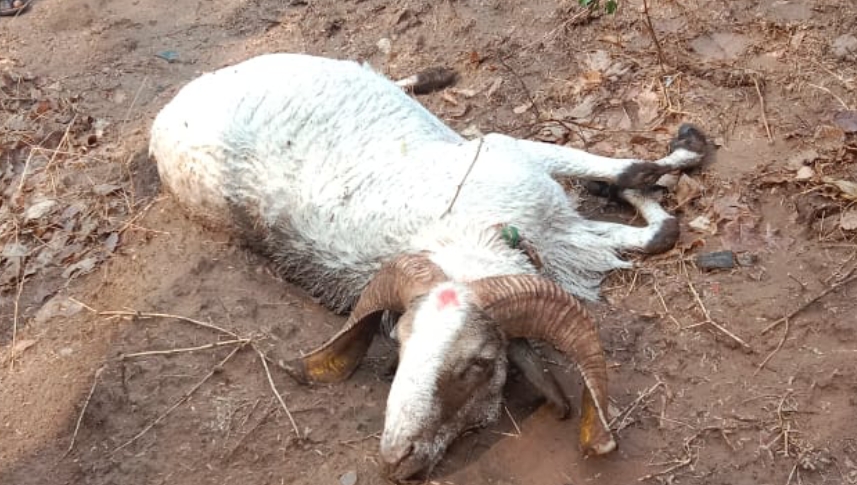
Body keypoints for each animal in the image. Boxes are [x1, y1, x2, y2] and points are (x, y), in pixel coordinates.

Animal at [148, 52, 708, 481]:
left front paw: (684, 149)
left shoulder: (512, 163)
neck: (461, 235)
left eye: (477, 364)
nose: (398, 460)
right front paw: (665, 171)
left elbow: (632, 175)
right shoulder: (534, 198)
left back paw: (433, 76)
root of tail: (160, 126)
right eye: (397, 348)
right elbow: (655, 221)